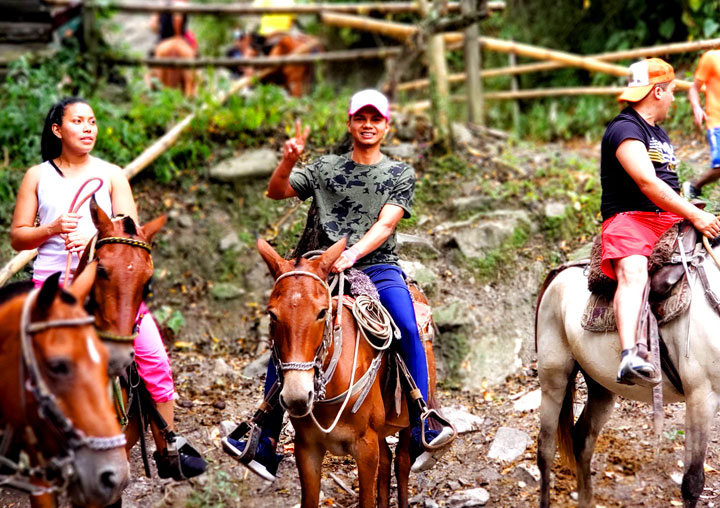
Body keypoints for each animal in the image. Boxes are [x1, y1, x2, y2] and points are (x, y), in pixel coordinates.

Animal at [256, 238, 452, 508]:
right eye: (272, 314)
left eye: (322, 312)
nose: (297, 396)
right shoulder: (306, 448)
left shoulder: (365, 446)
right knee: (387, 459)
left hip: (406, 419)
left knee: (402, 461)